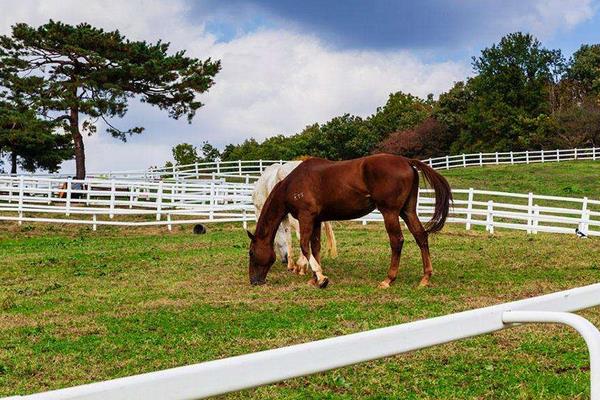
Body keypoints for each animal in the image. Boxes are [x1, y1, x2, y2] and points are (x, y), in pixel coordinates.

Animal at [247, 153, 450, 288]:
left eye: (251, 253)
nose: (254, 281)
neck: (292, 183)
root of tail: (407, 161)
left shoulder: (306, 217)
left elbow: (305, 245)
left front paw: (321, 278)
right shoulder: (317, 220)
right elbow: (315, 247)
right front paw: (314, 277)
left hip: (390, 213)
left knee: (397, 241)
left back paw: (388, 279)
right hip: (407, 211)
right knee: (420, 236)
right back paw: (425, 278)